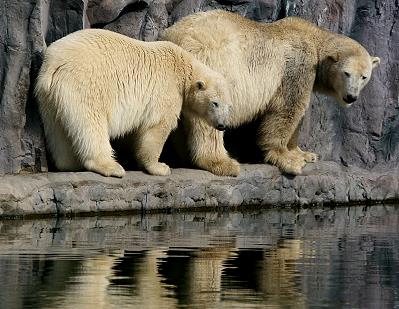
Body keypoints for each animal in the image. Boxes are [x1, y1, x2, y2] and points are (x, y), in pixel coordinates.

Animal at [36, 29, 234, 178]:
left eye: (228, 106)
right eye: (215, 103)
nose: (222, 125)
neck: (183, 67)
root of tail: (55, 64)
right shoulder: (166, 89)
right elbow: (157, 126)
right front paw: (160, 167)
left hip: (48, 95)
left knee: (57, 128)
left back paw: (69, 163)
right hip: (85, 84)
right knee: (91, 122)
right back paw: (112, 167)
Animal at [161, 9, 382, 174]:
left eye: (364, 77)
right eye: (346, 73)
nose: (351, 97)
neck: (313, 37)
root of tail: (175, 37)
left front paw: (305, 154)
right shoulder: (298, 64)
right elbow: (288, 108)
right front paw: (289, 160)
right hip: (210, 60)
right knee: (209, 116)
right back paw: (223, 162)